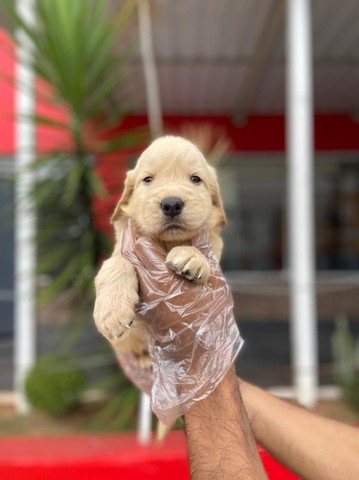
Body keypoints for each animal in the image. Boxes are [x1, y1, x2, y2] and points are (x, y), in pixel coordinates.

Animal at [94, 135, 226, 360]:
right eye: (148, 179)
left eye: (195, 179)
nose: (171, 204)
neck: (167, 242)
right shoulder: (123, 244)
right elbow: (117, 263)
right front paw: (112, 312)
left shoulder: (213, 245)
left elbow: (203, 252)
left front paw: (191, 256)